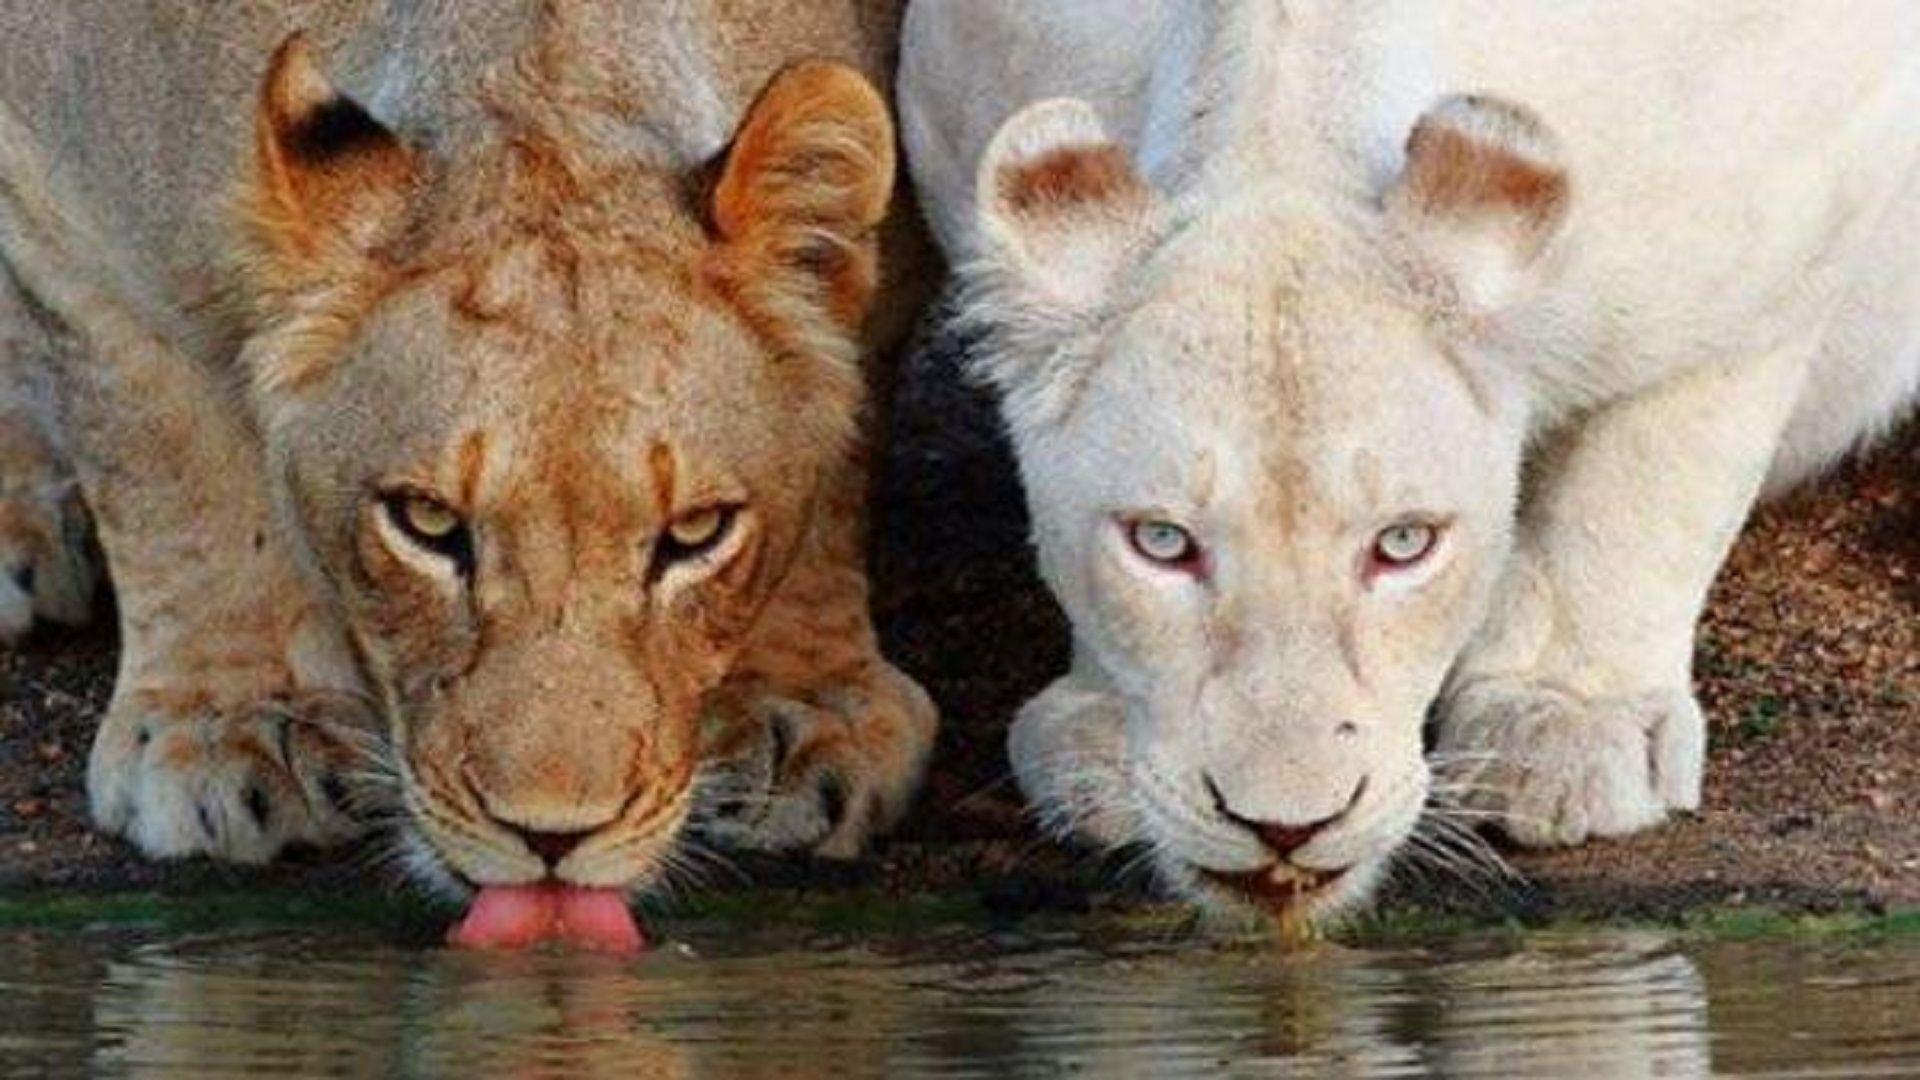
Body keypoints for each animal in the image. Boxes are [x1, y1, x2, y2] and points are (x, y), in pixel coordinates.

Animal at [0, 0, 936, 946]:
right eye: (427, 522)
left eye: (696, 532)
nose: (552, 836)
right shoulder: (67, 212)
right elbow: (166, 468)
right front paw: (237, 726)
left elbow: (833, 468)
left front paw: (803, 709)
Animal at [902, 0, 1920, 926]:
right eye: (1161, 541)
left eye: (1404, 544)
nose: (1285, 828)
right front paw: (1102, 738)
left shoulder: (1781, 246)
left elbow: (1644, 484)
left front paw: (1559, 731)